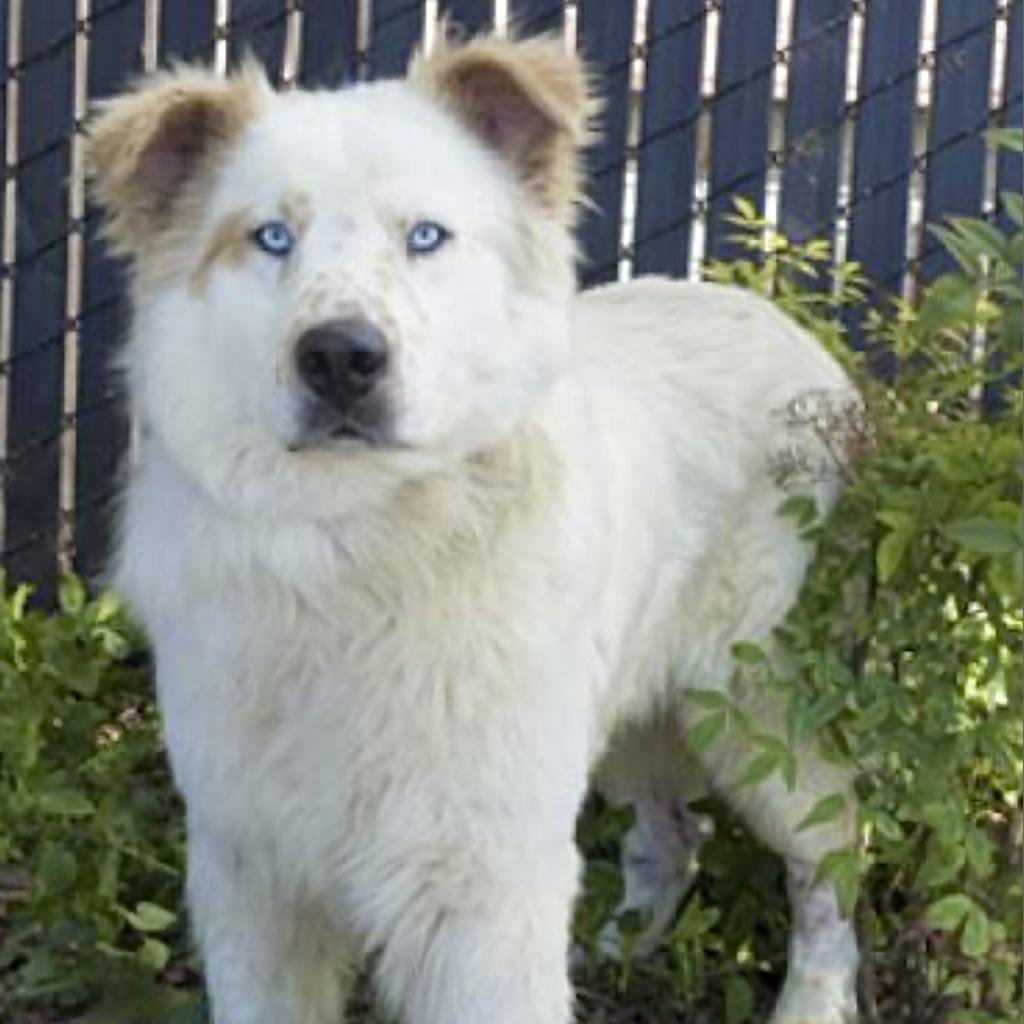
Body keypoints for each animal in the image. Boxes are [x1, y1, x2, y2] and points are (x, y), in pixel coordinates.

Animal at [88, 34, 860, 1024]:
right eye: (271, 238)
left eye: (425, 236)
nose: (340, 358)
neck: (358, 554)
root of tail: (791, 331)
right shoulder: (251, 878)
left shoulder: (480, 890)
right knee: (672, 835)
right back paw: (614, 953)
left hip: (749, 713)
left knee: (836, 845)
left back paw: (812, 998)